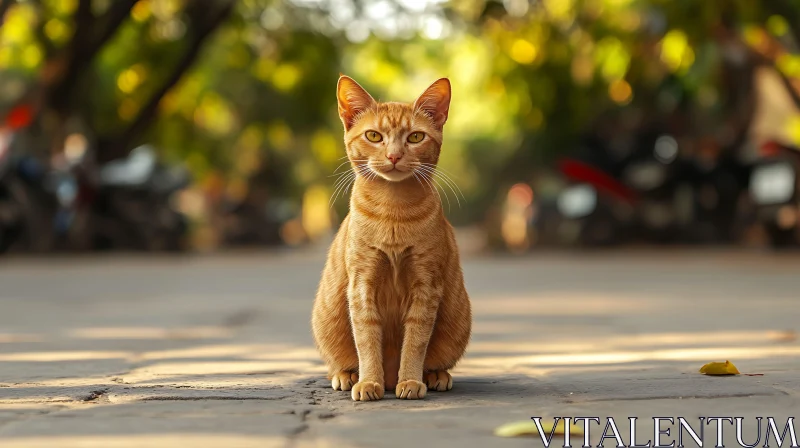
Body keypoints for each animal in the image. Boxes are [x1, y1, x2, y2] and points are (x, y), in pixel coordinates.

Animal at [312, 77, 472, 402]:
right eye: (374, 136)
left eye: (415, 137)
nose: (394, 155)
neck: (393, 212)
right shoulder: (362, 283)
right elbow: (366, 338)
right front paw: (368, 382)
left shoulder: (426, 284)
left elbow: (416, 340)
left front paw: (410, 380)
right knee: (339, 361)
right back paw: (347, 376)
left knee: (436, 360)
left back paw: (435, 376)